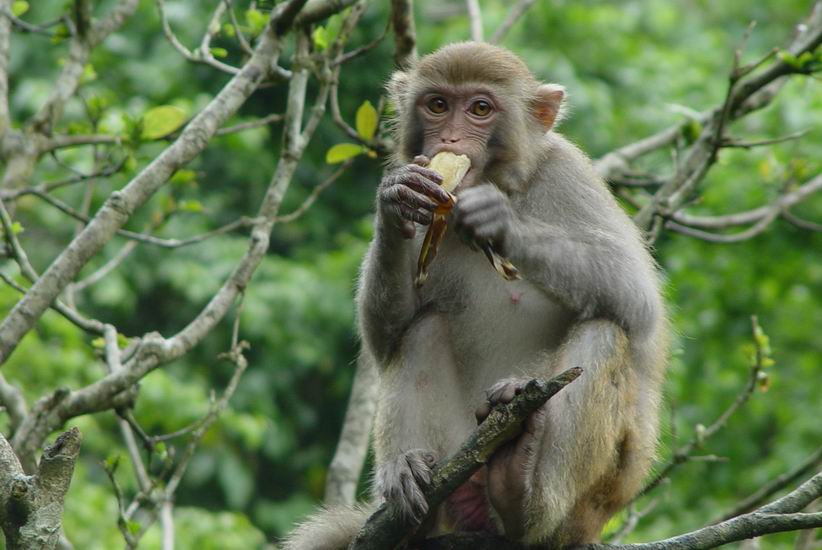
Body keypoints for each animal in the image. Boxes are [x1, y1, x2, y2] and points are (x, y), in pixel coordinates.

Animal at [284, 41, 668, 548]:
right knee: (422, 328)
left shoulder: (568, 174)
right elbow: (384, 338)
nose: (448, 140)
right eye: (437, 105)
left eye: (480, 109)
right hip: (456, 461)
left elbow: (636, 300)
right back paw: (410, 492)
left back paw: (521, 496)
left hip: (593, 503)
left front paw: (498, 221)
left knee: (605, 331)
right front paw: (395, 199)